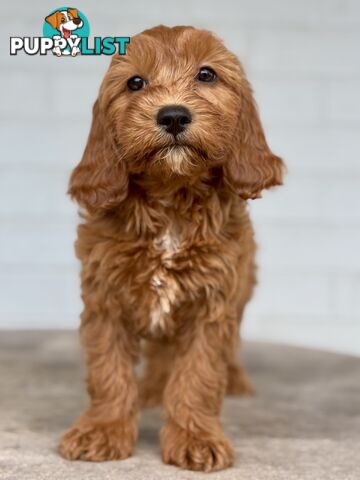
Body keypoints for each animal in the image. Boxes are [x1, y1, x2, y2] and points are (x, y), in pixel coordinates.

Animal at [59, 25, 284, 472]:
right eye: (135, 82)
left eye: (207, 75)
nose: (174, 115)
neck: (171, 199)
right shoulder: (105, 297)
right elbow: (108, 371)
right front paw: (103, 430)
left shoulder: (213, 302)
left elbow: (198, 375)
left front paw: (196, 437)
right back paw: (151, 389)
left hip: (243, 286)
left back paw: (233, 380)